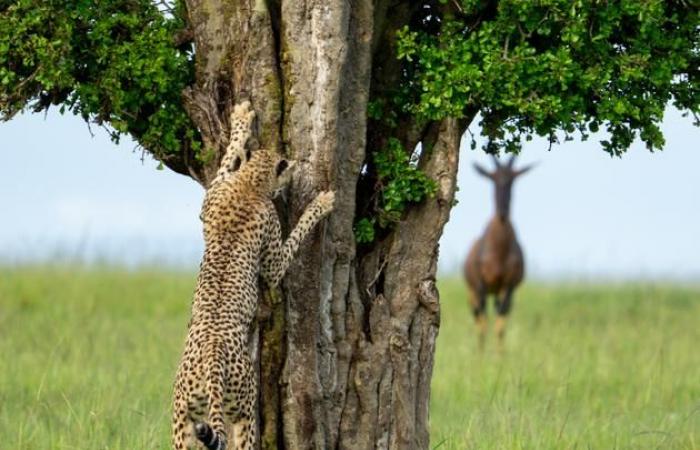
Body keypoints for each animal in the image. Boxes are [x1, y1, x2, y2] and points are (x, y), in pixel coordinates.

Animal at [170, 102, 334, 450]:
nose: (295, 168)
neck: (250, 183)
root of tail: (213, 358)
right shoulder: (272, 259)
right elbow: (293, 239)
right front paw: (319, 204)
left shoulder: (209, 201)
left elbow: (225, 160)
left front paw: (242, 121)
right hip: (243, 412)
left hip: (183, 421)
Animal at [464, 156, 532, 350]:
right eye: (492, 178)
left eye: (513, 179)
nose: (502, 213)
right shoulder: (480, 286)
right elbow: (483, 324)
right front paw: (480, 355)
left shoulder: (508, 286)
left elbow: (500, 324)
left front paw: (498, 356)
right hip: (473, 292)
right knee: (478, 317)